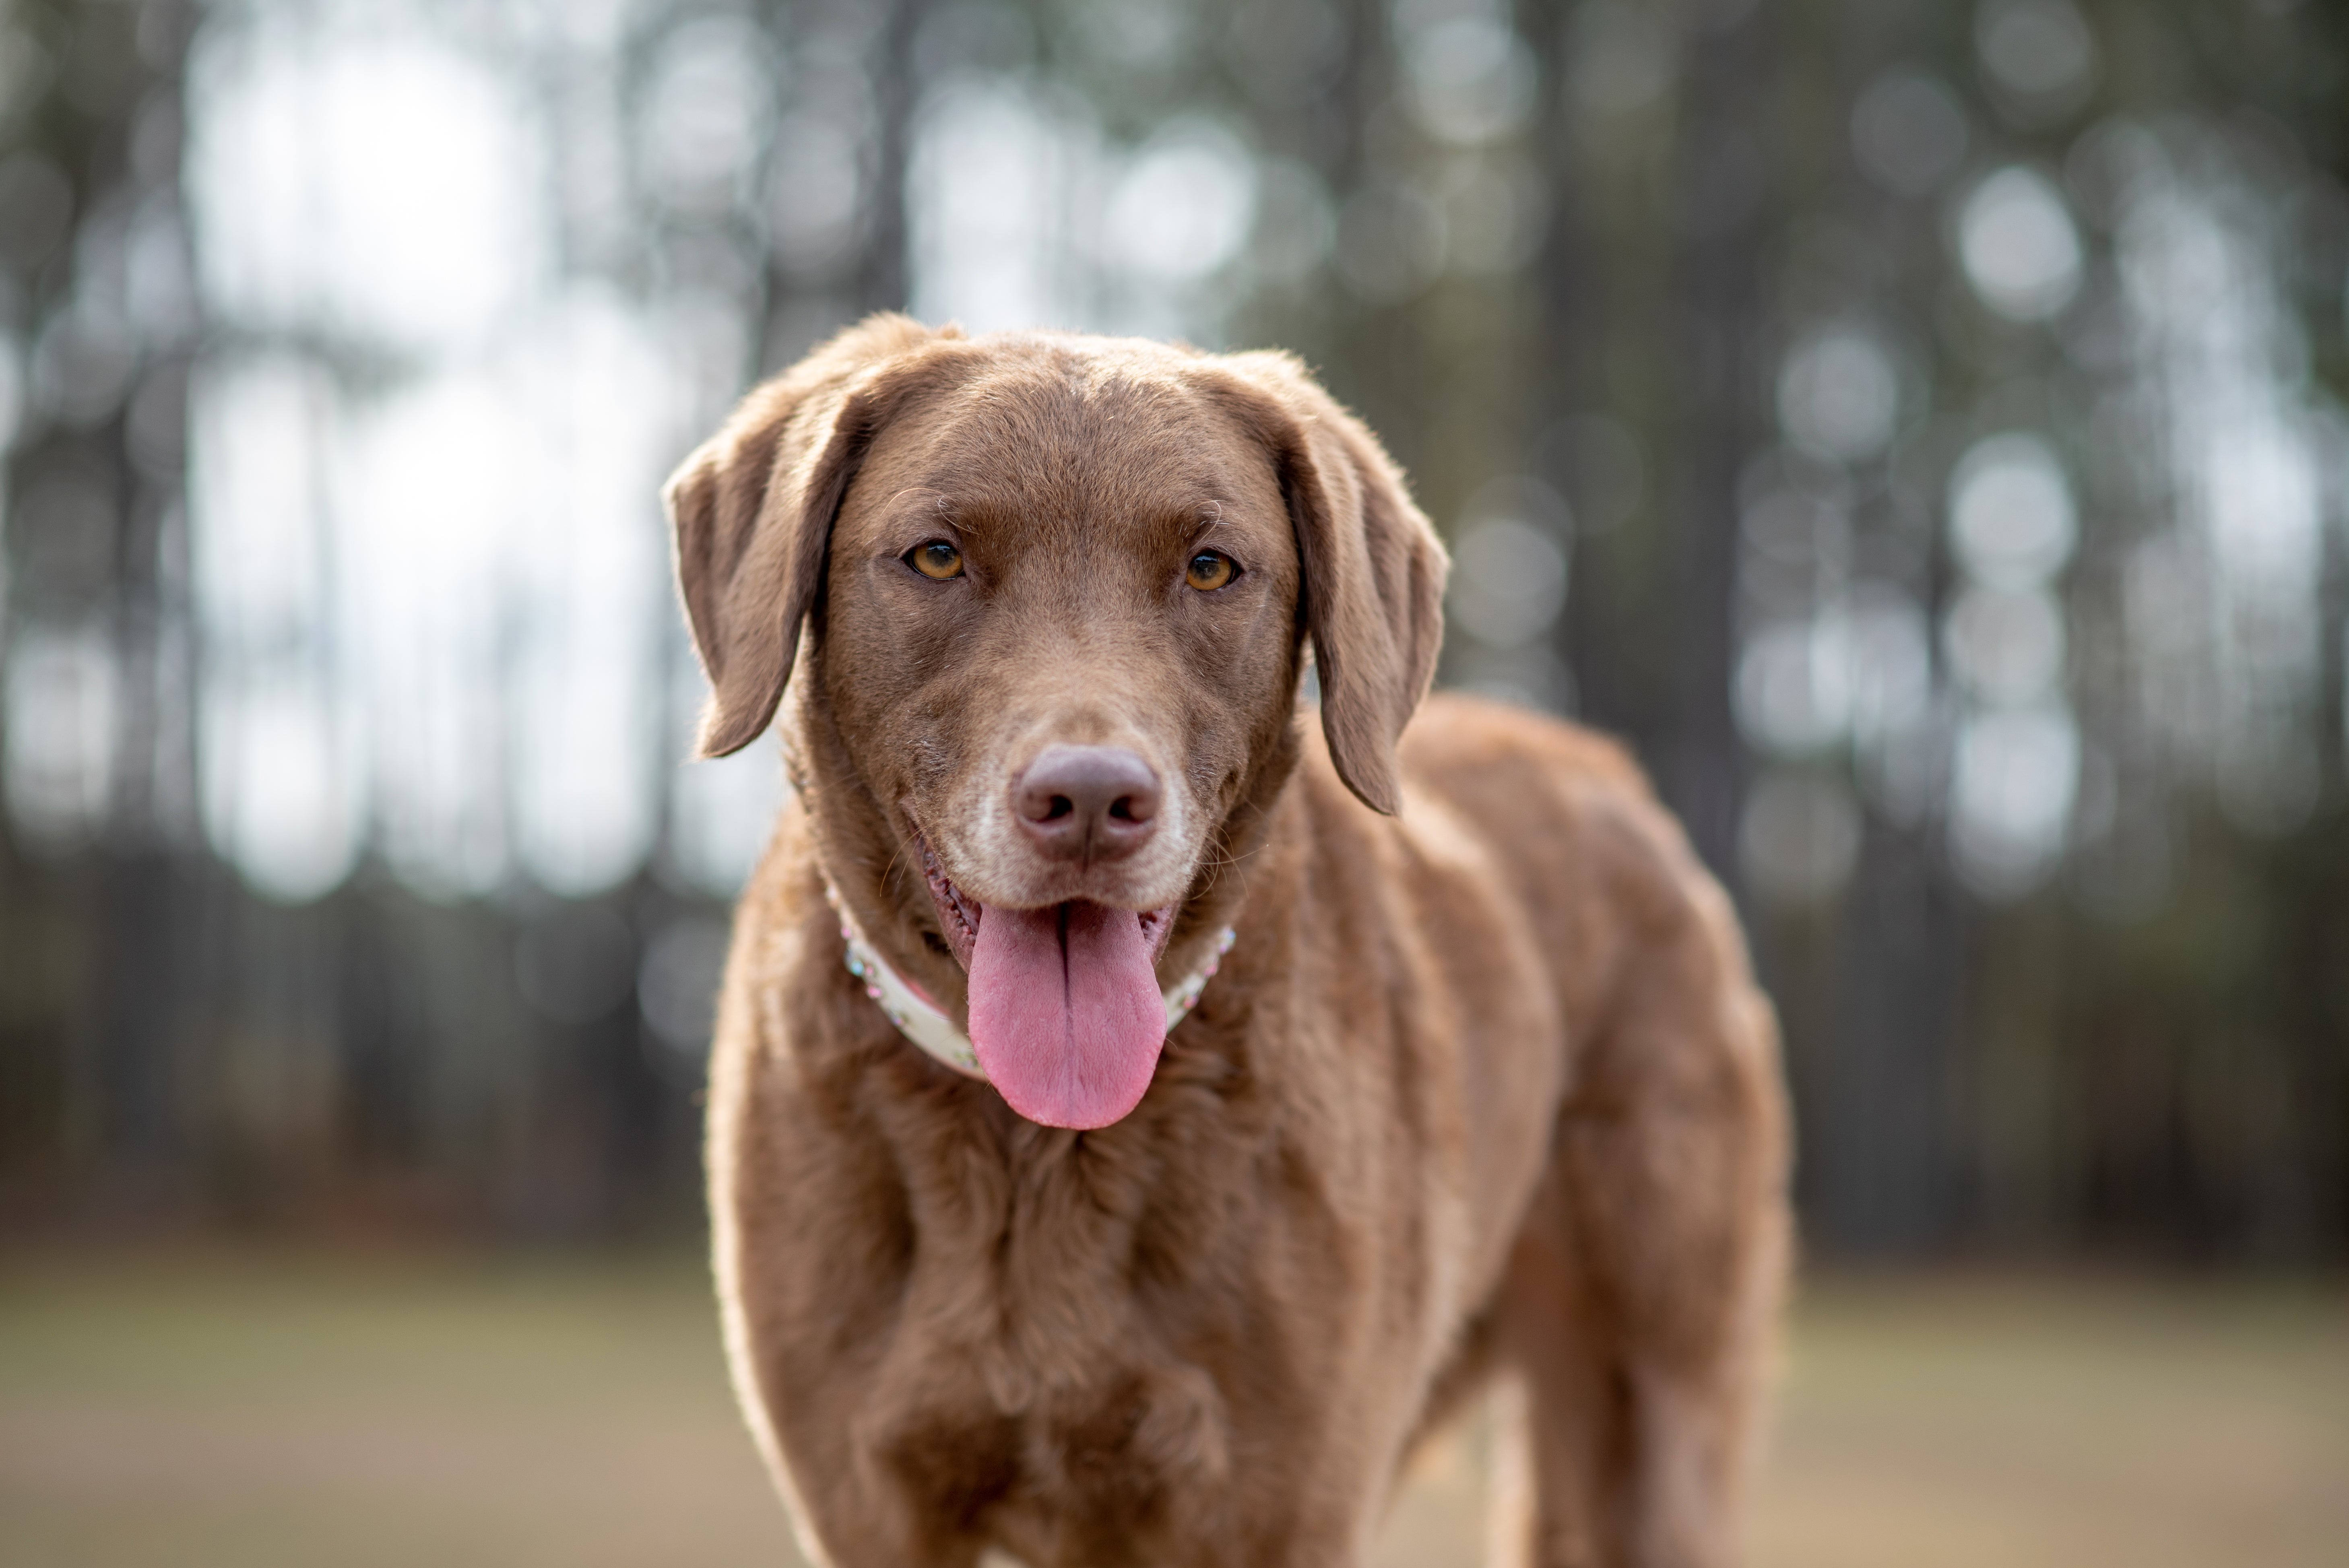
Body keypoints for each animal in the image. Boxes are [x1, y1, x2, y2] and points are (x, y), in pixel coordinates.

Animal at [672, 319, 1785, 1568]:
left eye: (1210, 568)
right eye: (937, 557)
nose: (1091, 801)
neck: (1034, 1148)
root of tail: (1607, 773)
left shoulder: (1277, 1504)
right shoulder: (868, 1509)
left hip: (1653, 1403)